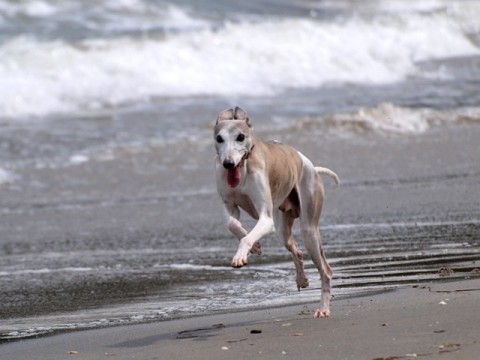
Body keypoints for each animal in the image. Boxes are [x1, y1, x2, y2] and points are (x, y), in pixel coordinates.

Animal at [214, 107, 342, 318]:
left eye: (240, 137)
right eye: (219, 138)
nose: (228, 164)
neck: (244, 168)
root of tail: (312, 167)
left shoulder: (266, 219)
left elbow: (247, 237)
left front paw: (241, 255)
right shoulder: (229, 205)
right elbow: (233, 224)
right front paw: (255, 247)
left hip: (309, 227)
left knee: (326, 270)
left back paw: (323, 308)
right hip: (285, 227)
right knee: (296, 250)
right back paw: (302, 279)